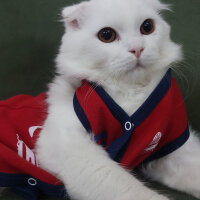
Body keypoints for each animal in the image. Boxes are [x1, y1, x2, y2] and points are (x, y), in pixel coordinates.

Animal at [36, 0, 200, 199]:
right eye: (107, 35)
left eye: (147, 27)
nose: (137, 48)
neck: (130, 91)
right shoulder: (69, 146)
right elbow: (130, 188)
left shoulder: (168, 148)